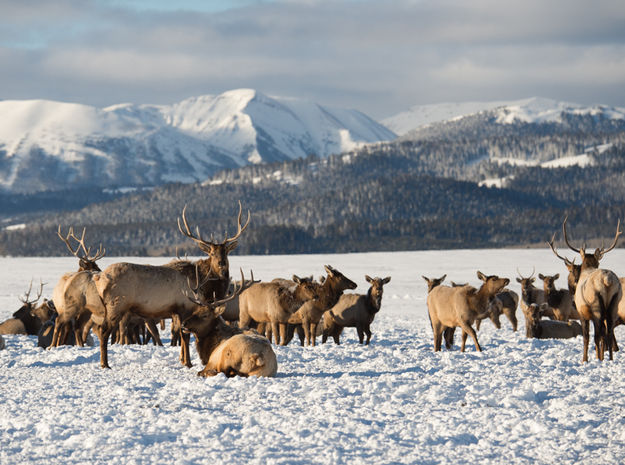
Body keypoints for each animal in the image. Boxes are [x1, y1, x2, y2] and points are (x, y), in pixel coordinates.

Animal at [552, 218, 624, 362]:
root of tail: (607, 280)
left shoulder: (582, 313)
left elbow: (586, 337)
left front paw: (584, 359)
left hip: (596, 305)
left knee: (599, 334)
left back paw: (599, 359)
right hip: (614, 304)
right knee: (608, 332)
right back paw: (609, 359)